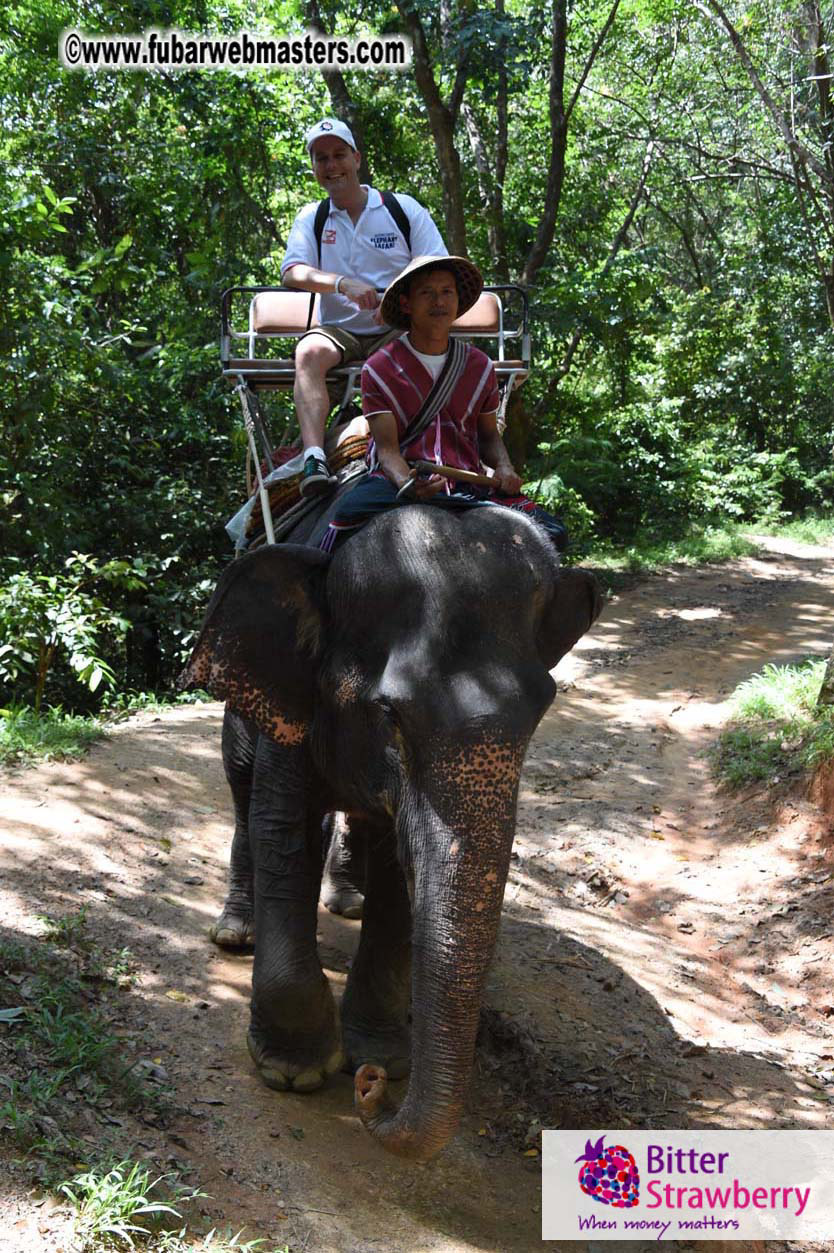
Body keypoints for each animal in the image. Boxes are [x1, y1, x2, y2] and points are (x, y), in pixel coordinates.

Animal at [181, 502, 602, 1161]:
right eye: (389, 716)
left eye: (540, 713)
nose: (370, 1089)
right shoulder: (294, 699)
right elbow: (284, 833)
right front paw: (293, 1070)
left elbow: (401, 874)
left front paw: (380, 1057)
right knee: (243, 789)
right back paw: (235, 933)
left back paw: (347, 901)